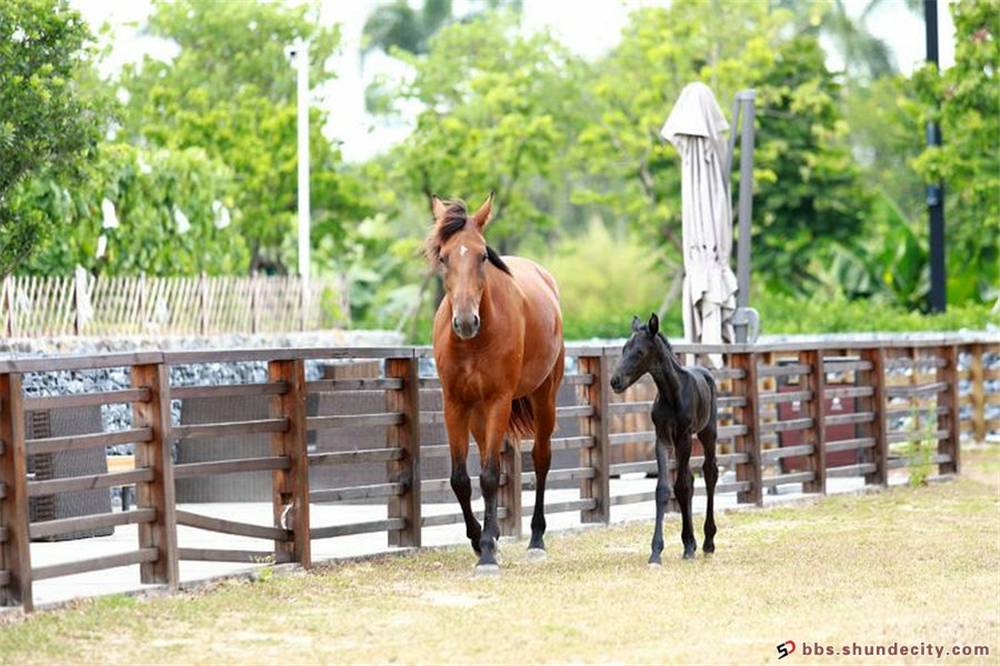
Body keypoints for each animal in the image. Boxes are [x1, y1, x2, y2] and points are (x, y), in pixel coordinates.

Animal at [428, 191, 568, 572]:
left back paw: (536, 540)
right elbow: (462, 479)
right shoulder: (454, 403)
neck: (473, 343)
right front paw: (479, 541)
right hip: (478, 413)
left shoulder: (499, 401)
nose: (465, 322)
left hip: (543, 398)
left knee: (541, 459)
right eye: (444, 257)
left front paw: (488, 553)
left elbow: (490, 477)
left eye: (481, 255)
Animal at [608, 312, 720, 560]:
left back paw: (707, 542)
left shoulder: (685, 437)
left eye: (640, 352)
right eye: (624, 349)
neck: (672, 394)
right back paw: (696, 542)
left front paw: (687, 546)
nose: (615, 381)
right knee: (691, 478)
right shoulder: (663, 438)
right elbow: (664, 489)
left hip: (707, 433)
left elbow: (682, 487)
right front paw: (656, 551)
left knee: (709, 474)